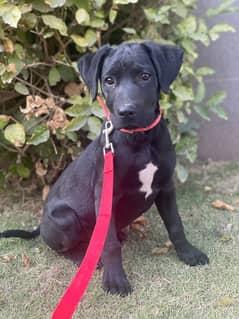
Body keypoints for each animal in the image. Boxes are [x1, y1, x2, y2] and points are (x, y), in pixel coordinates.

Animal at [0, 41, 208, 296]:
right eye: (109, 80)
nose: (126, 112)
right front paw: (115, 280)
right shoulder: (106, 195)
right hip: (66, 218)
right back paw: (86, 259)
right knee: (65, 249)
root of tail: (40, 226)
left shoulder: (166, 186)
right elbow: (109, 244)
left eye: (145, 76)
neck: (140, 140)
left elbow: (176, 224)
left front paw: (188, 253)